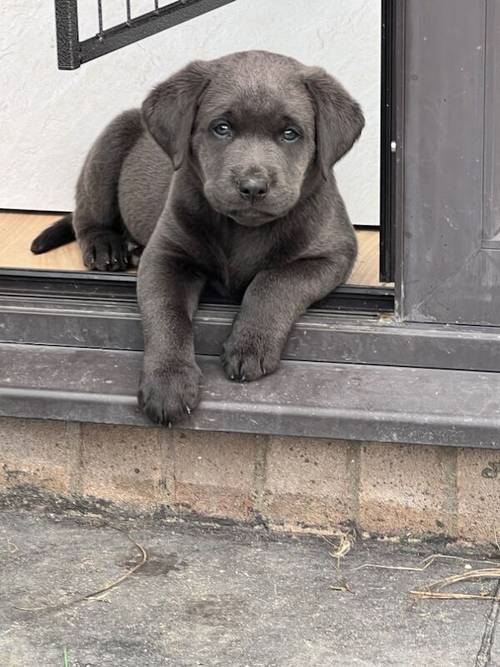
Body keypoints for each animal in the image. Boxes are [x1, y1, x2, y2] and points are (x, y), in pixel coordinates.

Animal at [33, 51, 366, 422]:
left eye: (290, 134)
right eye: (221, 128)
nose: (253, 186)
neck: (241, 229)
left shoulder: (334, 253)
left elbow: (275, 282)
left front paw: (250, 345)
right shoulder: (165, 257)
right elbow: (167, 313)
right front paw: (168, 380)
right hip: (109, 145)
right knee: (86, 215)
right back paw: (107, 246)